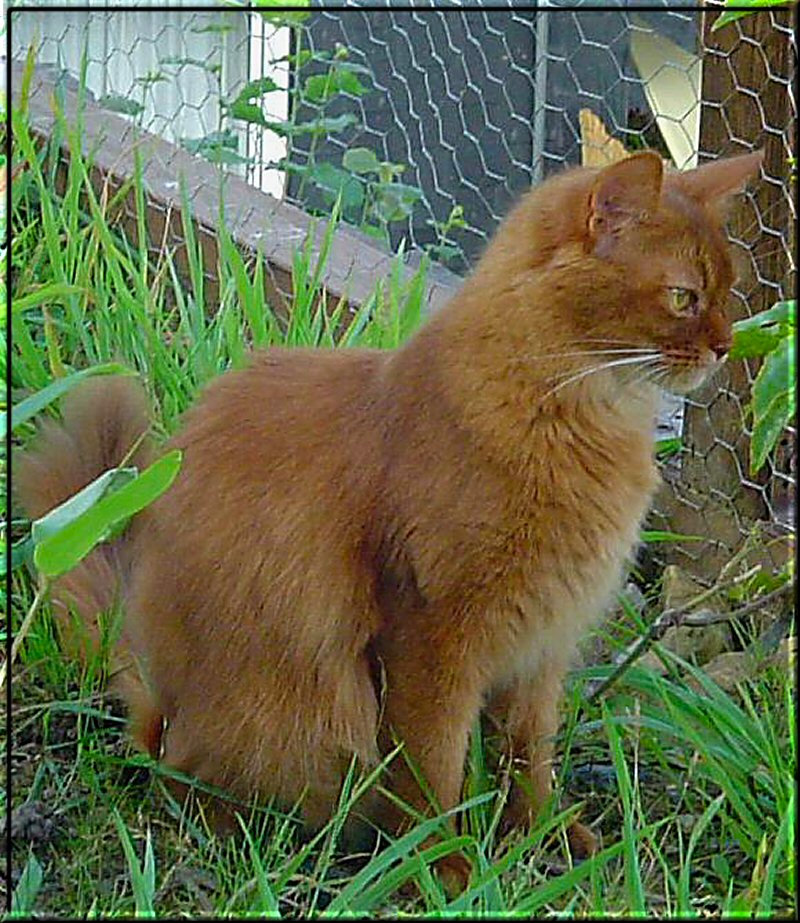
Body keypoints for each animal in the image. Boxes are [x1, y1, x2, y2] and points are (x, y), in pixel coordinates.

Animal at [14, 148, 764, 892]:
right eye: (683, 297)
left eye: (728, 290)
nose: (727, 345)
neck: (572, 418)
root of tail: (156, 707)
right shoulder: (429, 635)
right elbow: (433, 769)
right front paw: (448, 868)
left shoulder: (542, 640)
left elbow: (529, 753)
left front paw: (543, 835)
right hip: (279, 724)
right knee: (189, 782)